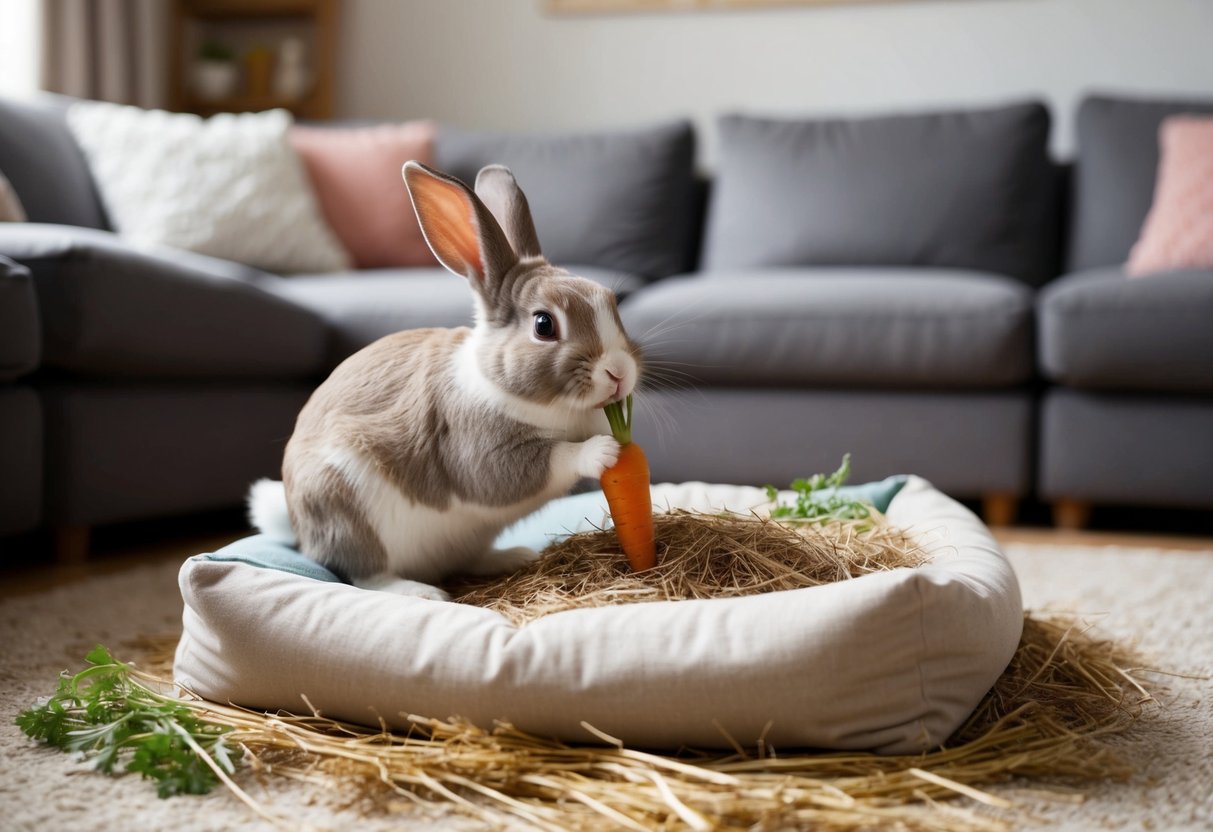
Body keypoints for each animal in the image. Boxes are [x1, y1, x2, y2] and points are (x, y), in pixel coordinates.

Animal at [248, 161, 643, 600]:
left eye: (611, 300)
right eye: (544, 325)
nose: (619, 373)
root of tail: (299, 530)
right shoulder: (481, 451)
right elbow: (546, 461)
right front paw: (603, 451)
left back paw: (510, 557)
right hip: (345, 509)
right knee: (366, 574)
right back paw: (421, 592)